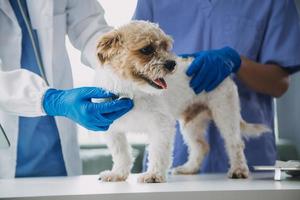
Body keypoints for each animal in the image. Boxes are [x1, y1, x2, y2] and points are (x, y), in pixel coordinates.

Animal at [94, 20, 270, 183]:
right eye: (146, 49)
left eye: (165, 47)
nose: (172, 64)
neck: (132, 91)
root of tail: (225, 72)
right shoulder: (113, 130)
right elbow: (121, 154)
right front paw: (117, 174)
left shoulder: (161, 126)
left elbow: (158, 151)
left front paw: (153, 175)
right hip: (190, 124)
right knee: (201, 146)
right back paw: (189, 169)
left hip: (225, 116)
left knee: (235, 144)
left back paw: (239, 170)